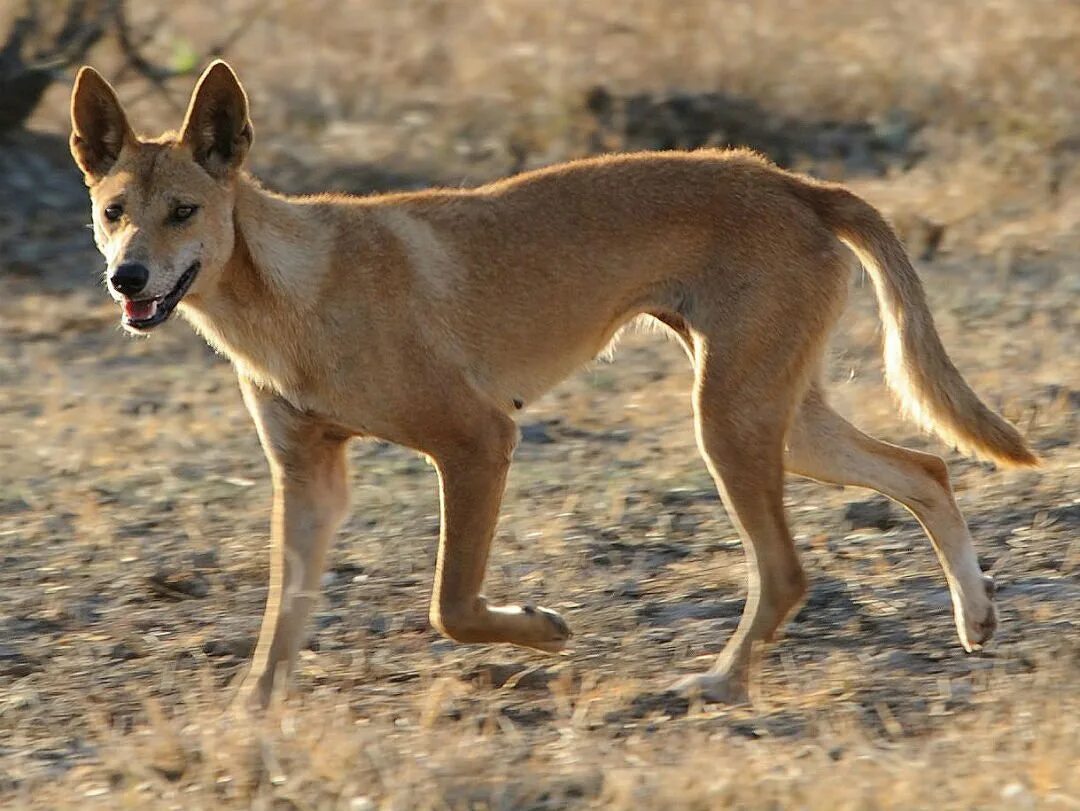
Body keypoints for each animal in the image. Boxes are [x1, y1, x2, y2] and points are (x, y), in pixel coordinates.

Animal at [69, 63, 1036, 708]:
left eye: (184, 212)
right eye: (113, 212)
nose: (127, 278)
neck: (289, 291)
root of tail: (794, 182)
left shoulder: (478, 440)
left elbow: (451, 604)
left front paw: (542, 630)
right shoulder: (310, 477)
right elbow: (279, 628)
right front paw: (249, 721)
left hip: (729, 422)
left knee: (788, 570)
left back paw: (716, 685)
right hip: (780, 417)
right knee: (926, 470)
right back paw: (975, 617)